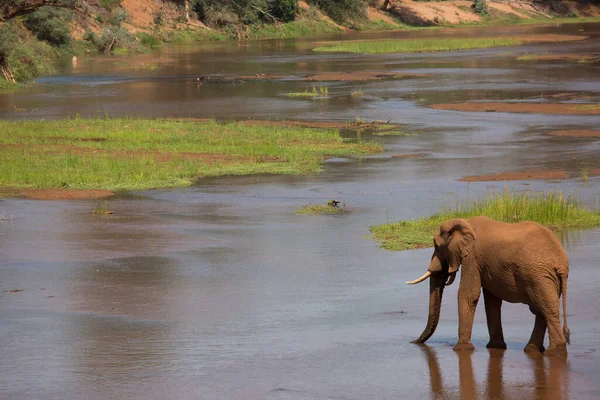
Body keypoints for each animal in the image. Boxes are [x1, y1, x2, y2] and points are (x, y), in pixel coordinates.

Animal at [406, 217, 568, 354]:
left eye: (435, 244)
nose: (413, 342)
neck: (465, 221)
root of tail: (561, 262)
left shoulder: (472, 258)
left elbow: (467, 294)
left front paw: (461, 349)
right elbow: (492, 300)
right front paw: (496, 347)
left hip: (538, 276)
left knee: (547, 309)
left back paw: (554, 351)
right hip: (546, 278)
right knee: (543, 309)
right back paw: (532, 350)